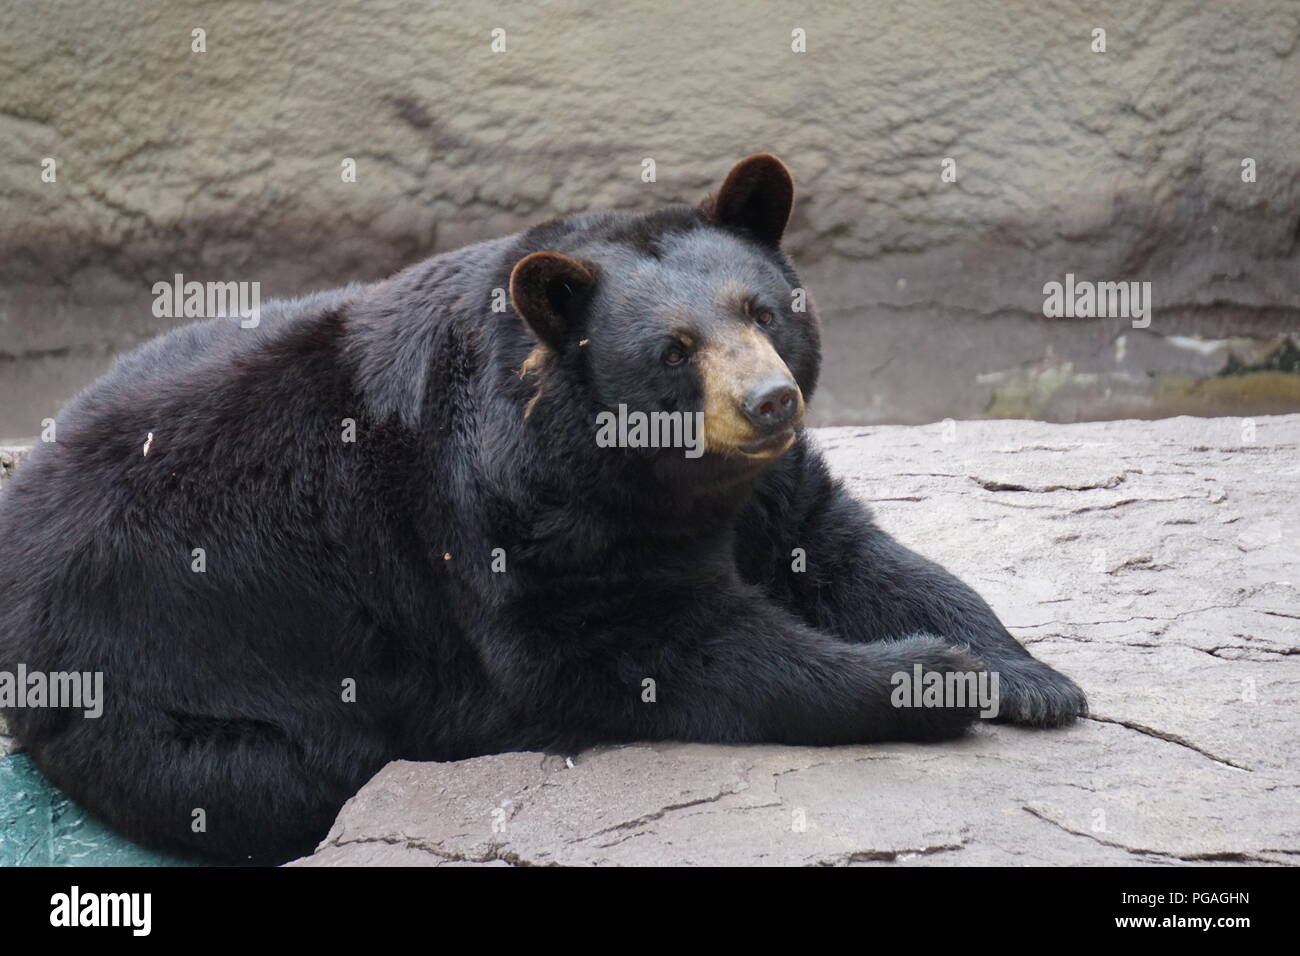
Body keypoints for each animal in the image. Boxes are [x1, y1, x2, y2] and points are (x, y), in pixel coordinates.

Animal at [0, 154, 1086, 864]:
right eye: (674, 348)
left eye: (763, 309)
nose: (772, 401)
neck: (652, 473)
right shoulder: (509, 519)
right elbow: (656, 646)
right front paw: (928, 677)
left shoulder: (769, 489)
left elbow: (850, 550)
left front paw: (1029, 675)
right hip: (166, 689)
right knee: (269, 778)